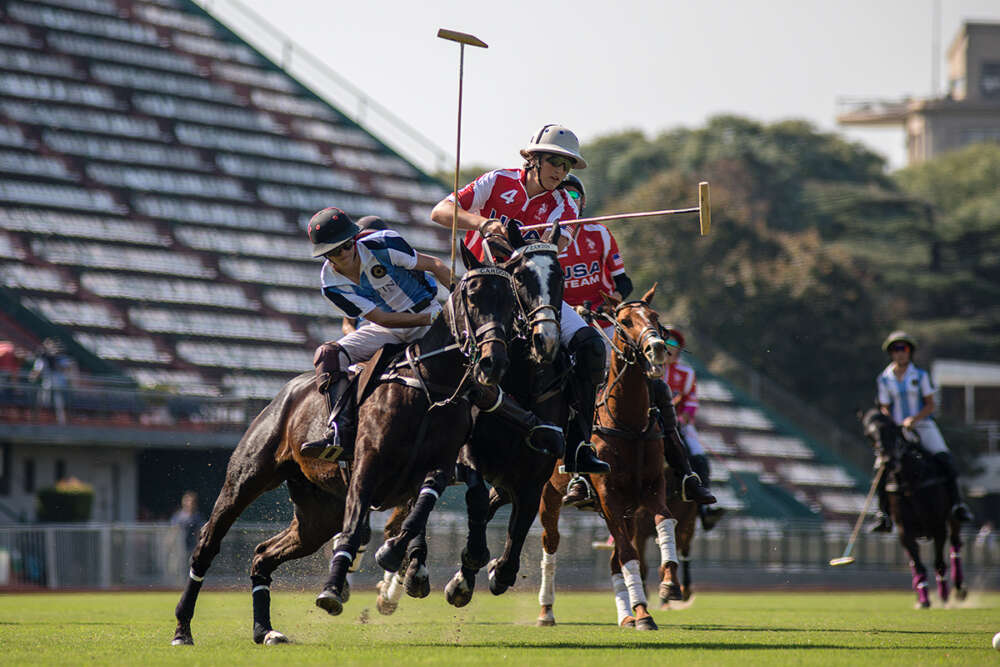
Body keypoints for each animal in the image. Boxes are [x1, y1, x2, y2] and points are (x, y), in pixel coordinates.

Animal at [536, 288, 676, 632]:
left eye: (655, 317)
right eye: (625, 321)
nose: (656, 348)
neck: (629, 423)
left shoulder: (650, 489)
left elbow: (665, 522)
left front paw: (668, 582)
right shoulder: (607, 493)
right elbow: (628, 554)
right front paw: (644, 614)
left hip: (625, 510)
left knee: (614, 558)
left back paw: (626, 614)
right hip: (549, 495)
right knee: (551, 543)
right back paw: (546, 610)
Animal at [860, 410, 968, 608]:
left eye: (891, 429)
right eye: (868, 434)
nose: (886, 461)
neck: (910, 479)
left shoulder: (938, 526)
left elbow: (939, 562)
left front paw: (943, 595)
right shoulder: (904, 529)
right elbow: (918, 564)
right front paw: (923, 599)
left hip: (953, 519)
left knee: (955, 546)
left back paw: (959, 589)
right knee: (914, 560)